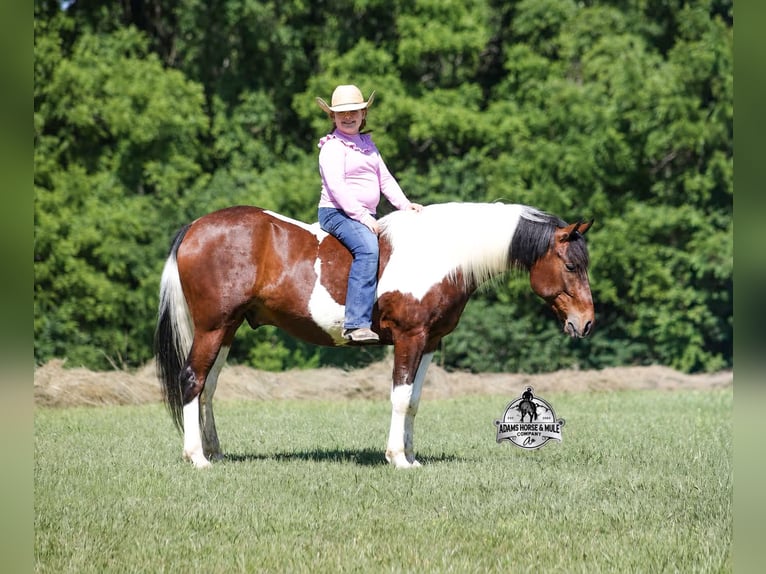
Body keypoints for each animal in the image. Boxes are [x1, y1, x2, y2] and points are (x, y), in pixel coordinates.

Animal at [154, 202, 594, 469]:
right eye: (571, 266)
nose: (587, 322)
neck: (441, 253)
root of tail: (194, 227)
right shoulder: (409, 337)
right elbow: (400, 397)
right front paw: (397, 458)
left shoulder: (430, 342)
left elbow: (413, 401)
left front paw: (412, 456)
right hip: (212, 328)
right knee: (191, 381)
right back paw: (197, 457)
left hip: (227, 330)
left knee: (208, 388)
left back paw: (215, 451)